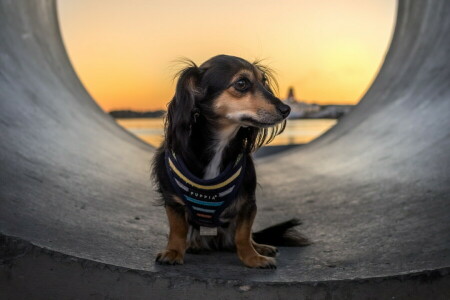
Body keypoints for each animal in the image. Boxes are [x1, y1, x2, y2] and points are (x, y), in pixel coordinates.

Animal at [153, 54, 308, 270]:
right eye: (241, 83)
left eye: (264, 82)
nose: (286, 109)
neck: (220, 143)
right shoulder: (172, 200)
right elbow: (177, 230)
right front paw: (173, 251)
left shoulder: (247, 203)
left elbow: (243, 235)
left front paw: (252, 257)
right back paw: (193, 245)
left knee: (246, 237)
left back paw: (261, 247)